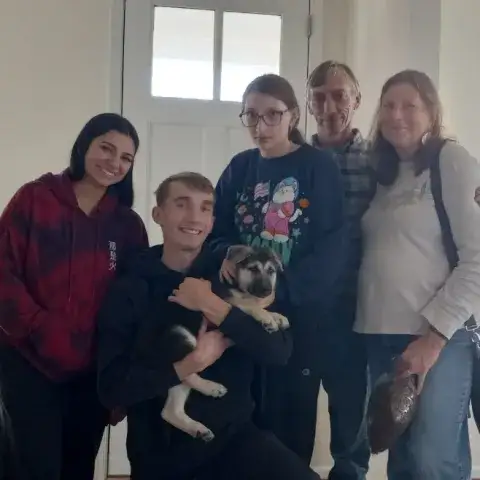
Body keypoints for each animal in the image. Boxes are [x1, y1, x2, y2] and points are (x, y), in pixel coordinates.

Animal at [160, 245, 289, 442]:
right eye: (253, 269)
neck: (239, 287)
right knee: (182, 372)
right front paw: (267, 317)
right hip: (181, 336)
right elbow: (249, 305)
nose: (268, 290)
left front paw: (278, 317)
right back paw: (212, 388)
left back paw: (198, 429)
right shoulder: (226, 300)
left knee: (169, 410)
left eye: (271, 271)